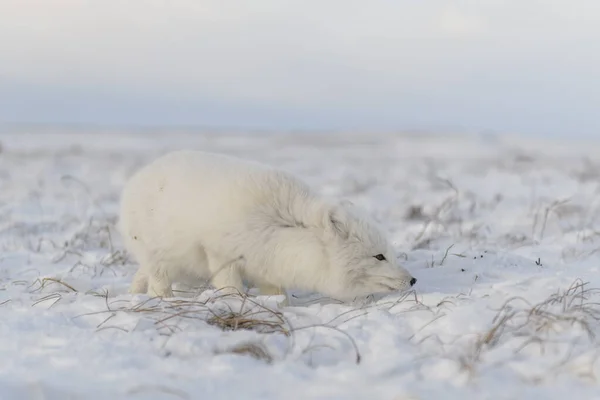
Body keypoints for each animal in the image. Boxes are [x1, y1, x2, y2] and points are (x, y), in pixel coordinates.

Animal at [118, 152, 418, 302]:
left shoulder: (267, 261)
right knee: (157, 278)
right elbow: (230, 285)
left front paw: (276, 305)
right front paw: (237, 303)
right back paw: (161, 300)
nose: (413, 280)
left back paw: (133, 294)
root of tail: (138, 176)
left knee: (142, 274)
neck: (282, 224)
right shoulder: (219, 252)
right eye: (379, 256)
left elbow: (276, 291)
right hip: (159, 254)